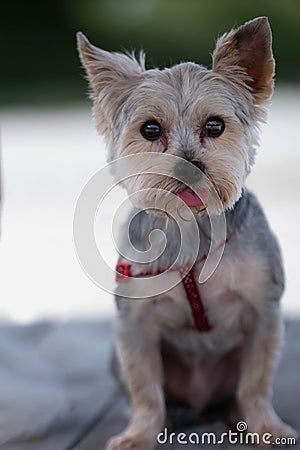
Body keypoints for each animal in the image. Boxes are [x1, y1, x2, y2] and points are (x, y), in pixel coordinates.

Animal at [77, 15, 298, 448]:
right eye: (150, 129)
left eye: (215, 125)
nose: (189, 166)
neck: (191, 225)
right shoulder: (135, 325)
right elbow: (145, 388)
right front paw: (140, 434)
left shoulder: (263, 312)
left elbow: (256, 382)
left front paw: (266, 428)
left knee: (235, 391)